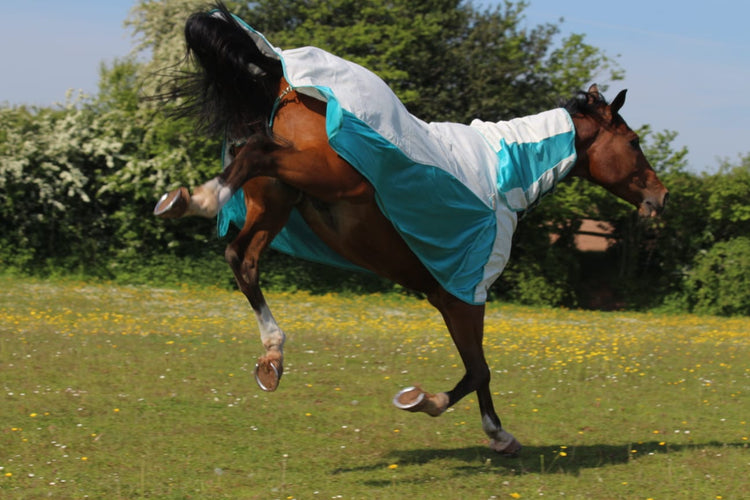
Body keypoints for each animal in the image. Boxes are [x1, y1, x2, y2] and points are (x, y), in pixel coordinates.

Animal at [153, 3, 668, 456]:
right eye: (633, 141)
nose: (659, 197)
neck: (504, 174)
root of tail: (282, 75)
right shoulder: (466, 295)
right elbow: (479, 370)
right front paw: (434, 406)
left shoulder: (445, 297)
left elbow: (478, 368)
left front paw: (492, 432)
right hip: (326, 176)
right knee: (255, 155)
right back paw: (198, 199)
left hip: (280, 198)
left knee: (242, 256)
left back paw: (271, 356)